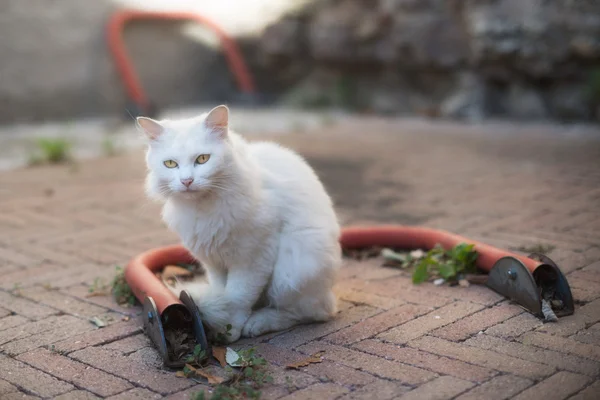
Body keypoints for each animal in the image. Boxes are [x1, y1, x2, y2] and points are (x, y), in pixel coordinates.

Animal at [138, 104, 340, 342]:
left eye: (202, 159)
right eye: (170, 164)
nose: (187, 181)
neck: (203, 208)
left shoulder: (253, 257)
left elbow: (237, 297)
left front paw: (229, 330)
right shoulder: (213, 260)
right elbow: (223, 292)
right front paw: (221, 324)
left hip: (291, 272)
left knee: (308, 312)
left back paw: (257, 323)